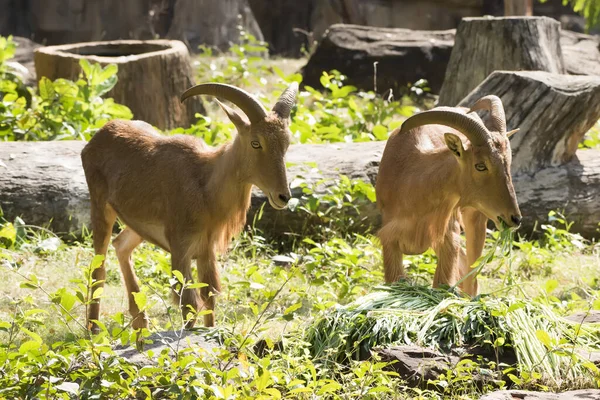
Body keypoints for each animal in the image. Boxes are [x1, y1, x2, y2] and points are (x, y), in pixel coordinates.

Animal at [83, 82, 298, 334]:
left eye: (286, 144)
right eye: (256, 142)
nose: (283, 196)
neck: (205, 185)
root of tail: (98, 136)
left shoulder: (206, 251)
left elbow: (209, 297)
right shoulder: (181, 248)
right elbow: (189, 304)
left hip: (137, 225)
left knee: (121, 246)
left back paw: (140, 323)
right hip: (101, 208)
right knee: (99, 267)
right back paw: (93, 329)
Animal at [378, 96, 524, 296]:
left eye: (508, 163)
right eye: (480, 165)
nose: (514, 218)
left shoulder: (447, 235)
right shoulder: (390, 238)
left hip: (475, 217)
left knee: (471, 275)